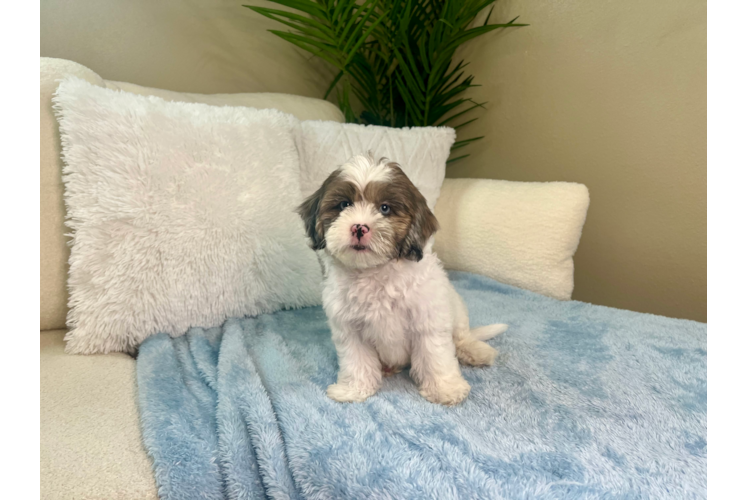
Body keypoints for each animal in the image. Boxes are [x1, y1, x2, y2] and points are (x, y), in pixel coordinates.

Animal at [298, 153, 508, 406]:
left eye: (385, 208)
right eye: (344, 205)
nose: (359, 227)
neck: (375, 272)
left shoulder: (428, 319)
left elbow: (435, 356)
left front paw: (445, 388)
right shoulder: (349, 328)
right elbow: (357, 360)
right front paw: (354, 389)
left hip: (456, 310)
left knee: (461, 337)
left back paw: (476, 351)